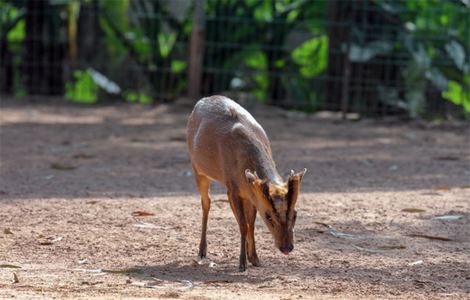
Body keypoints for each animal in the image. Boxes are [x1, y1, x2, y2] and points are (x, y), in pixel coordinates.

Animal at [187, 96, 308, 272]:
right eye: (268, 216)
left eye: (295, 214)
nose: (287, 248)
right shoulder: (231, 188)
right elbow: (243, 224)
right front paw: (242, 263)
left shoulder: (251, 193)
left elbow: (250, 223)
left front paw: (255, 258)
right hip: (197, 169)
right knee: (206, 202)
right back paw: (202, 252)